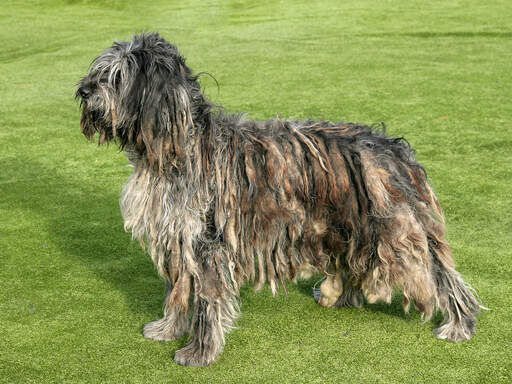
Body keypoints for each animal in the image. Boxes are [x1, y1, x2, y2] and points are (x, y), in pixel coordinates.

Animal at [76, 32, 480, 366]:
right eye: (100, 70)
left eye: (117, 76)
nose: (82, 90)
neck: (178, 148)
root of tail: (392, 148)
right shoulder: (177, 240)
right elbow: (178, 291)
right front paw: (168, 329)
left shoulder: (205, 243)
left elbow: (206, 300)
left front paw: (200, 352)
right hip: (348, 224)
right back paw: (338, 295)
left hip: (393, 231)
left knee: (440, 275)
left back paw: (459, 324)